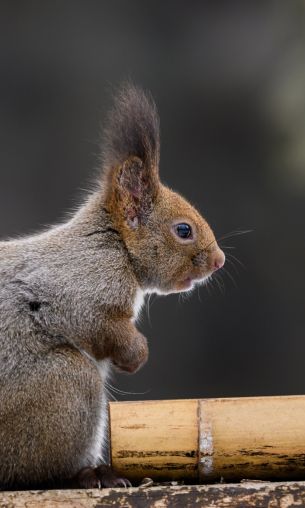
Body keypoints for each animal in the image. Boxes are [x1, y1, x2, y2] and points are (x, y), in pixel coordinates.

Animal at [0, 83, 223, 488]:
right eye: (183, 230)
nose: (219, 261)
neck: (111, 243)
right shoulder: (80, 287)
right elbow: (96, 323)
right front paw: (136, 355)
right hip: (62, 387)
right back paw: (90, 474)